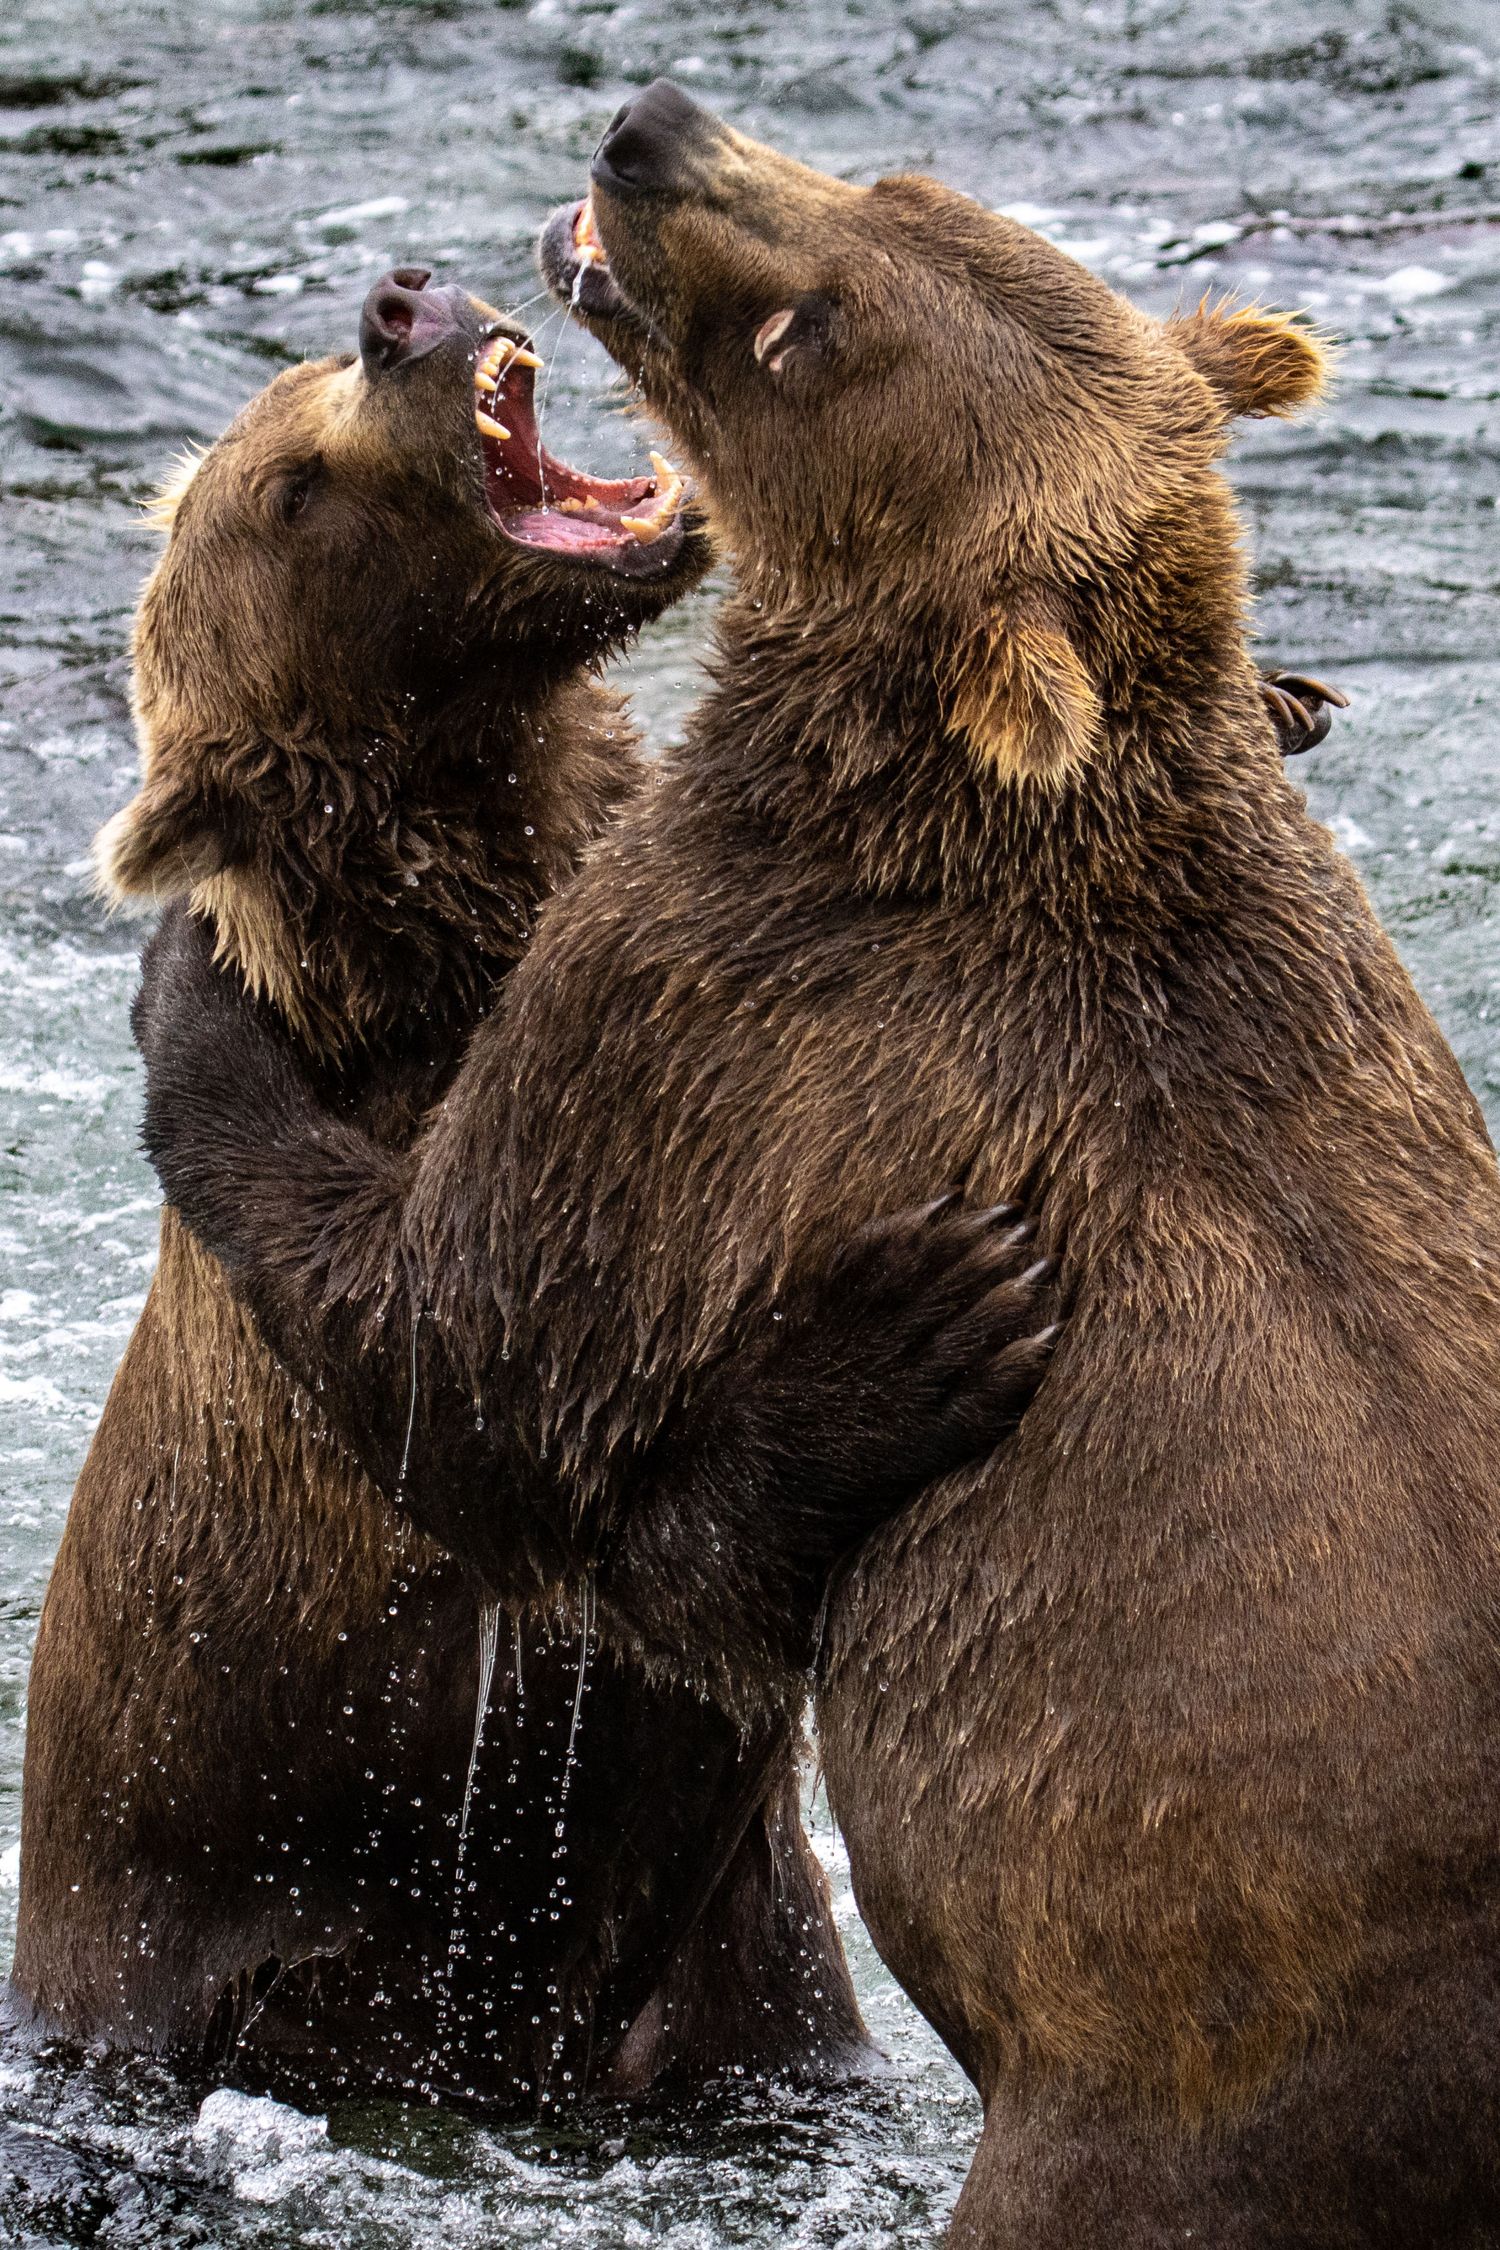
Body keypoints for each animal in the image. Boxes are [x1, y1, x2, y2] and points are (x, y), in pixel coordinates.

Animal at [122, 94, 1459, 2245]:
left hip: (1173, 2117)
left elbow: (480, 1371)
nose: (645, 129)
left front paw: (202, 1010)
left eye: (797, 337)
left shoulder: (700, 1018)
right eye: (903, 185)